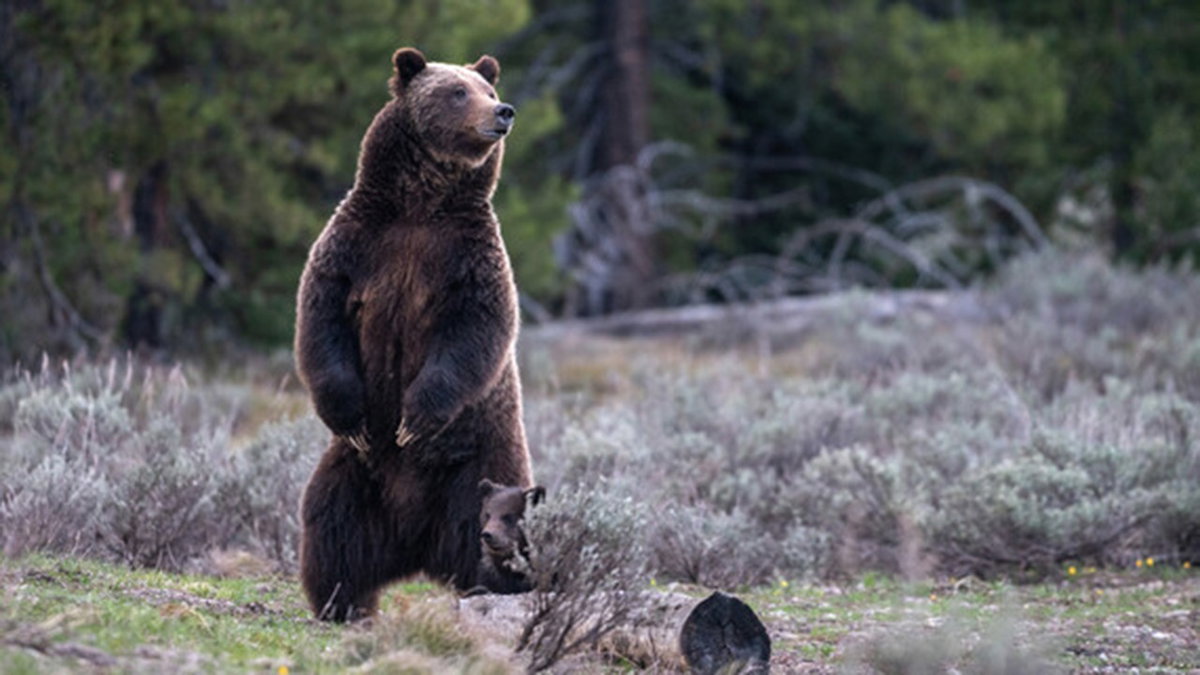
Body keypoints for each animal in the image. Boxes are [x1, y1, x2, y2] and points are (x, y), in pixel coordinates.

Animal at [293, 46, 533, 622]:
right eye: (458, 91)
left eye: (488, 90)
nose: (504, 112)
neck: (421, 205)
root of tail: (417, 547)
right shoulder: (357, 244)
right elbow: (322, 319)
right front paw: (353, 415)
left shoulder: (468, 258)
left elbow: (475, 331)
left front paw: (415, 419)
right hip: (355, 475)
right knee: (331, 526)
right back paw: (340, 601)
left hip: (482, 462)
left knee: (486, 523)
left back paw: (497, 587)